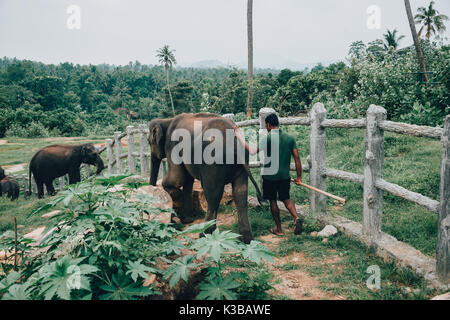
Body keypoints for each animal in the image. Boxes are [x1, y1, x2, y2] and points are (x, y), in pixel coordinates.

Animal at [148, 112, 264, 242]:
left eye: (149, 141)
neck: (167, 120)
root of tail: (234, 140)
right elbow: (187, 181)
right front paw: (187, 220)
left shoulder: (171, 144)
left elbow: (178, 179)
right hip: (242, 162)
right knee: (240, 194)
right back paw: (247, 239)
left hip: (212, 161)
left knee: (213, 195)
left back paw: (204, 235)